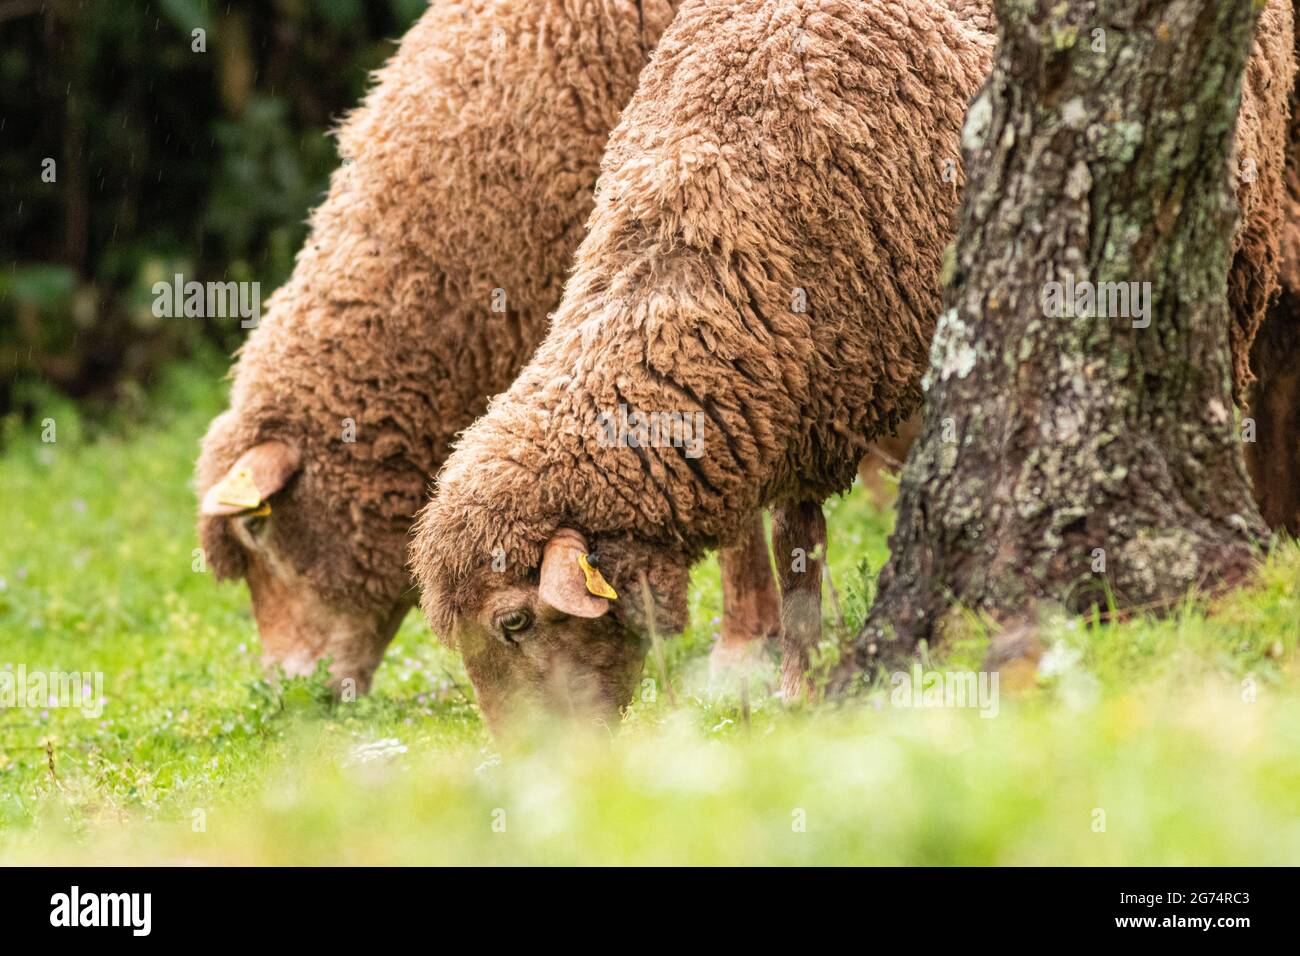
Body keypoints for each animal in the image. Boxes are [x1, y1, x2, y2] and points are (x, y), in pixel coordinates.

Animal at [409, 0, 1296, 733]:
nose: (527, 762)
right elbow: (794, 549)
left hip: (1239, 246)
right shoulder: (793, 402)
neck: (693, 237)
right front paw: (796, 689)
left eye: (514, 621)